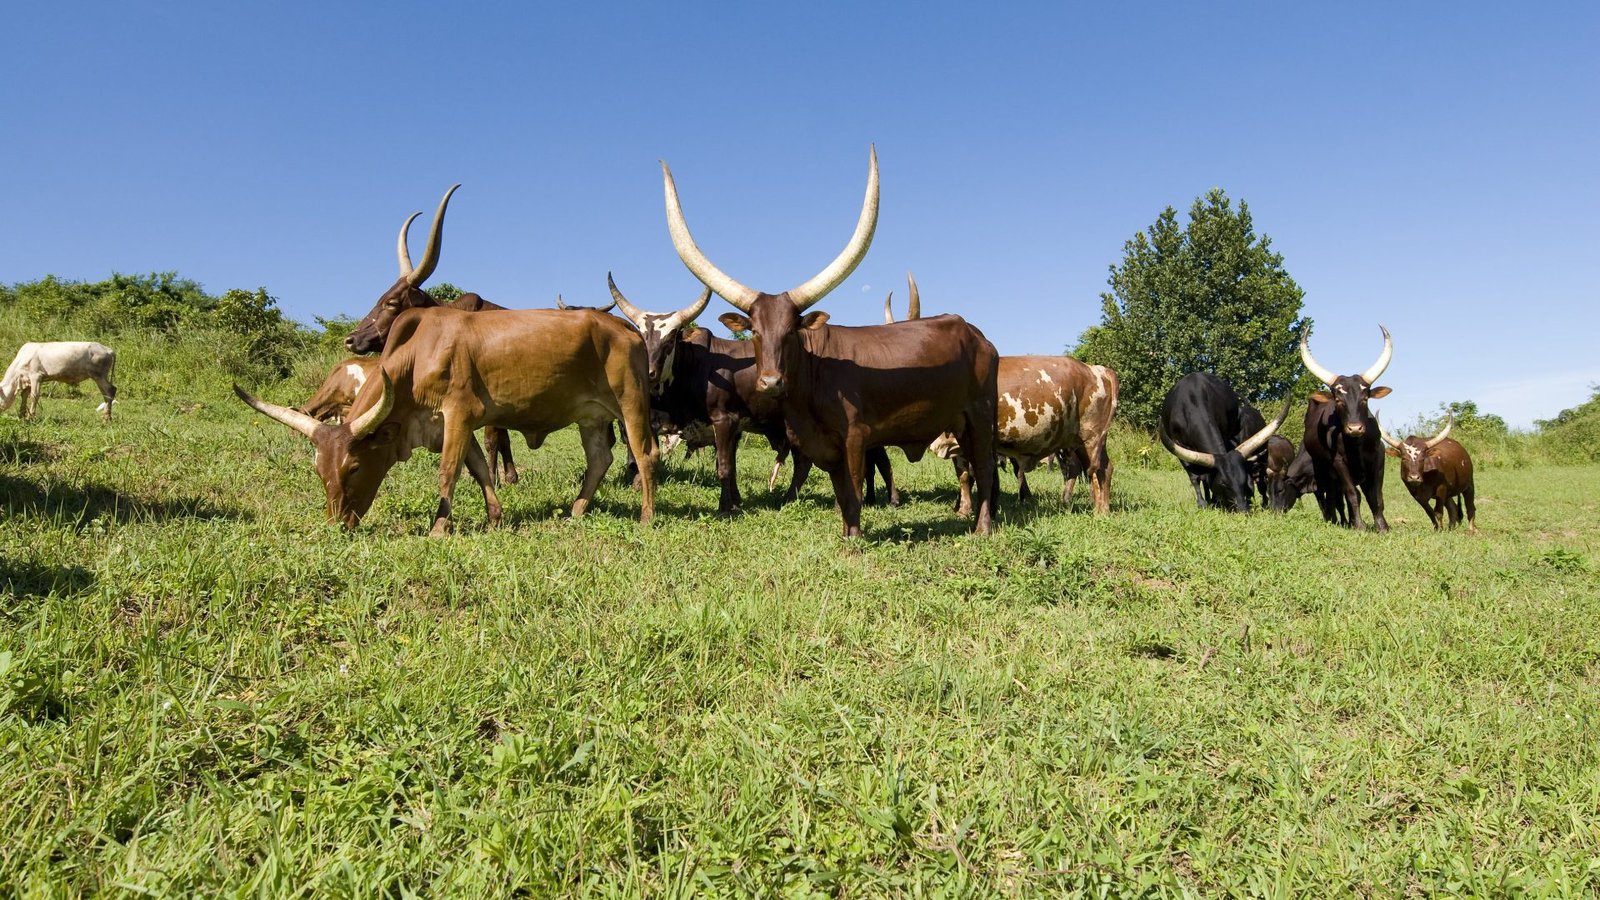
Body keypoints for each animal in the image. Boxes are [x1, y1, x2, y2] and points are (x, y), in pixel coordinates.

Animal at [237, 307, 657, 533]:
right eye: (318, 470)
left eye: (354, 466)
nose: (338, 523)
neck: (417, 357)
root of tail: (624, 327)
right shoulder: (456, 426)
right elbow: (479, 469)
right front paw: (494, 518)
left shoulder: (459, 414)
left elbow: (448, 471)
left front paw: (440, 527)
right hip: (591, 417)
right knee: (599, 459)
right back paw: (576, 510)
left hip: (631, 404)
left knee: (644, 455)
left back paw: (646, 516)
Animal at [662, 146, 1000, 537]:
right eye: (755, 331)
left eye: (791, 331)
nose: (771, 382)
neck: (812, 379)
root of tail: (978, 336)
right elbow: (841, 492)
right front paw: (846, 532)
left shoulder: (855, 436)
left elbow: (853, 490)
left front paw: (854, 539)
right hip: (962, 423)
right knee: (975, 468)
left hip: (981, 416)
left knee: (985, 468)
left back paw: (983, 527)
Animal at [1158, 372, 1290, 512]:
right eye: (1223, 483)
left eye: (1243, 479)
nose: (1243, 510)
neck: (1191, 403)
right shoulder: (1178, 446)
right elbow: (1195, 477)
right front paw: (1203, 503)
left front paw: (1216, 501)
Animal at [1300, 326, 1394, 531]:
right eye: (1338, 400)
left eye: (1365, 398)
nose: (1355, 428)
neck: (1356, 444)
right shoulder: (1339, 463)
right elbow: (1352, 494)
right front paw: (1359, 525)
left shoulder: (1378, 457)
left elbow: (1376, 496)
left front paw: (1382, 526)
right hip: (1322, 468)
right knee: (1331, 494)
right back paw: (1334, 519)